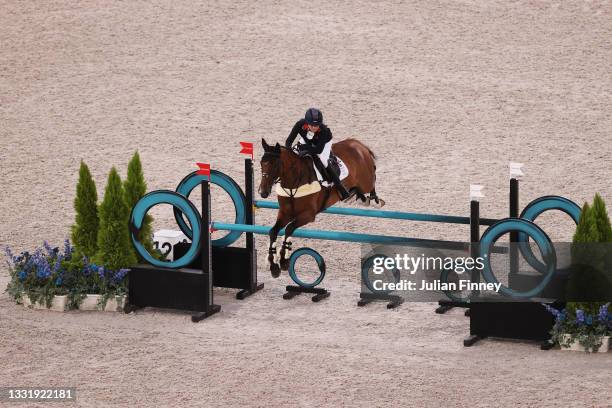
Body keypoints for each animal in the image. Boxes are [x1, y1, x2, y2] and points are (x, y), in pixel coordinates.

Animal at [256, 138, 382, 278]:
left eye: (275, 164)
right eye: (262, 163)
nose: (263, 192)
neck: (293, 182)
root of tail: (359, 144)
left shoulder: (308, 215)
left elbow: (288, 229)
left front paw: (283, 261)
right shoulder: (284, 213)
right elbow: (273, 231)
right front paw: (274, 266)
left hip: (366, 182)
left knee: (372, 181)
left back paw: (374, 200)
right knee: (361, 190)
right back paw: (354, 195)